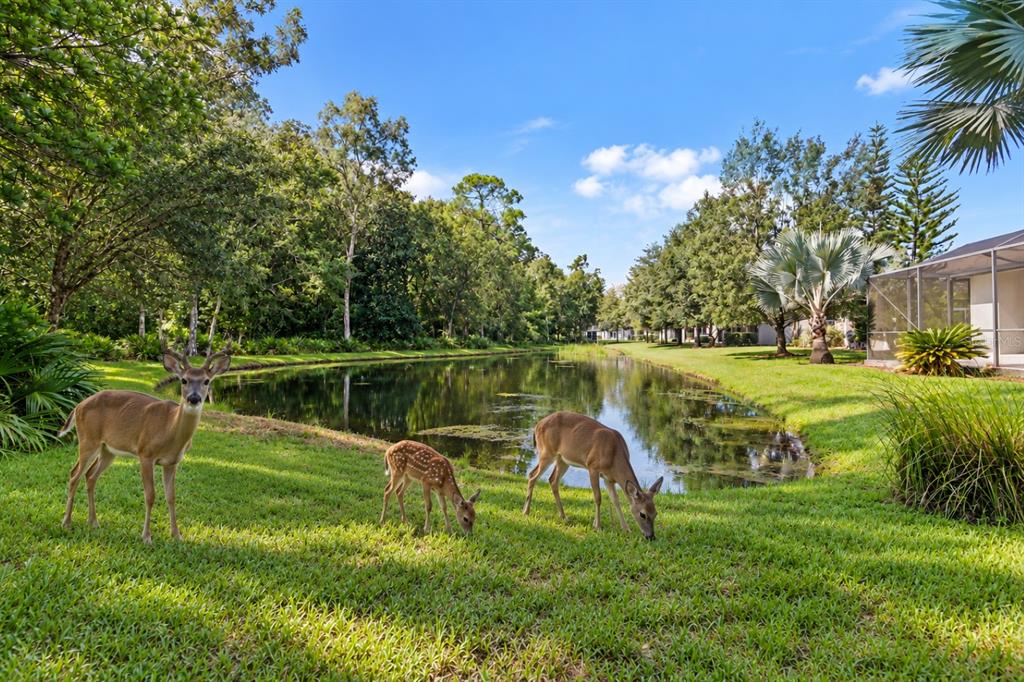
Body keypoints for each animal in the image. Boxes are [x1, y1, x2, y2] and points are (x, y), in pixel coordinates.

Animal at [58, 348, 231, 543]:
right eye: (184, 380)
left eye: (206, 381)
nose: (193, 398)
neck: (170, 431)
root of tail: (78, 405)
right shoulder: (145, 454)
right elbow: (150, 495)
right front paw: (147, 536)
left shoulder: (172, 462)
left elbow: (171, 496)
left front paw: (177, 535)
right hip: (88, 439)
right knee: (74, 475)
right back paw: (67, 523)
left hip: (107, 449)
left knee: (90, 476)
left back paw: (93, 522)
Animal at [523, 411, 664, 540]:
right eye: (643, 514)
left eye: (656, 513)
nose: (651, 536)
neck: (614, 456)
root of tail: (538, 425)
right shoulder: (592, 467)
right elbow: (598, 497)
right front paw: (598, 526)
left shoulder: (609, 479)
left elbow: (615, 500)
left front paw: (626, 529)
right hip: (547, 452)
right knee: (532, 475)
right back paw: (526, 512)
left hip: (562, 459)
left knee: (552, 480)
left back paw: (563, 516)